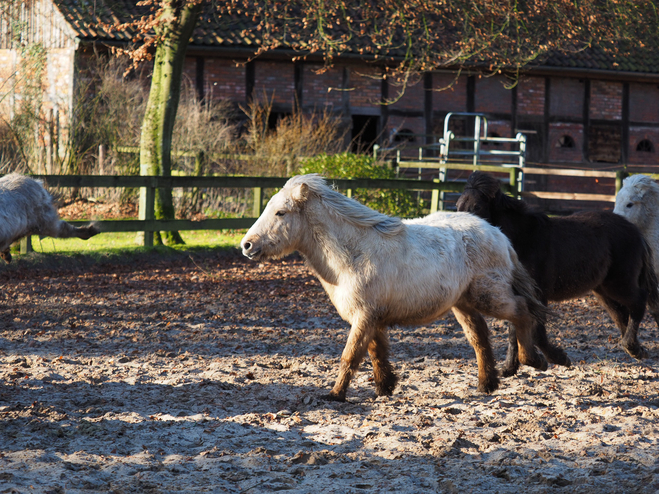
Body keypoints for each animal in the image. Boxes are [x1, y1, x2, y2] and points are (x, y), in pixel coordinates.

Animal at [240, 174, 556, 402]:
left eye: (281, 213)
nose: (247, 245)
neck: (354, 253)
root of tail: (498, 234)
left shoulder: (364, 317)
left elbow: (350, 355)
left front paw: (335, 395)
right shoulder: (372, 318)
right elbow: (376, 353)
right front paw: (384, 387)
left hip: (488, 296)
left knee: (522, 312)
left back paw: (532, 360)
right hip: (463, 303)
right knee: (480, 337)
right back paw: (486, 384)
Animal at [458, 172, 659, 376]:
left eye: (477, 207)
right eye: (458, 206)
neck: (524, 239)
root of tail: (635, 231)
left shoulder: (539, 294)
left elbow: (536, 333)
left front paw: (555, 359)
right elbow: (515, 330)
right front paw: (509, 368)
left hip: (619, 283)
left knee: (639, 301)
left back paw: (633, 348)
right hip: (603, 290)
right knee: (622, 315)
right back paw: (638, 349)